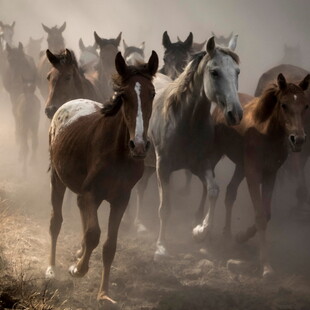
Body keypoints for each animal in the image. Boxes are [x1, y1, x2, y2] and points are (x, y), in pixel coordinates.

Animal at [45, 50, 160, 308]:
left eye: (152, 93)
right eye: (123, 95)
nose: (139, 145)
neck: (118, 153)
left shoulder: (121, 200)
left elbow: (109, 245)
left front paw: (104, 293)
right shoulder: (92, 193)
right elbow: (93, 234)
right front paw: (77, 269)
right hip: (58, 178)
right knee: (56, 221)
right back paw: (51, 268)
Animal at [148, 35, 242, 260]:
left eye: (237, 72)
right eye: (215, 72)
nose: (235, 113)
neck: (184, 121)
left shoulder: (201, 164)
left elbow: (213, 190)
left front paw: (200, 231)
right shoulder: (162, 168)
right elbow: (165, 208)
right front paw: (161, 247)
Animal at [194, 73, 310, 278]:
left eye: (305, 106)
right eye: (284, 104)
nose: (298, 139)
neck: (266, 133)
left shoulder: (271, 174)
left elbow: (267, 214)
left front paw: (241, 236)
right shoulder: (254, 175)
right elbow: (260, 216)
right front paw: (266, 265)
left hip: (241, 167)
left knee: (230, 193)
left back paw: (227, 234)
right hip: (217, 154)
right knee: (207, 183)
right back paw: (201, 222)